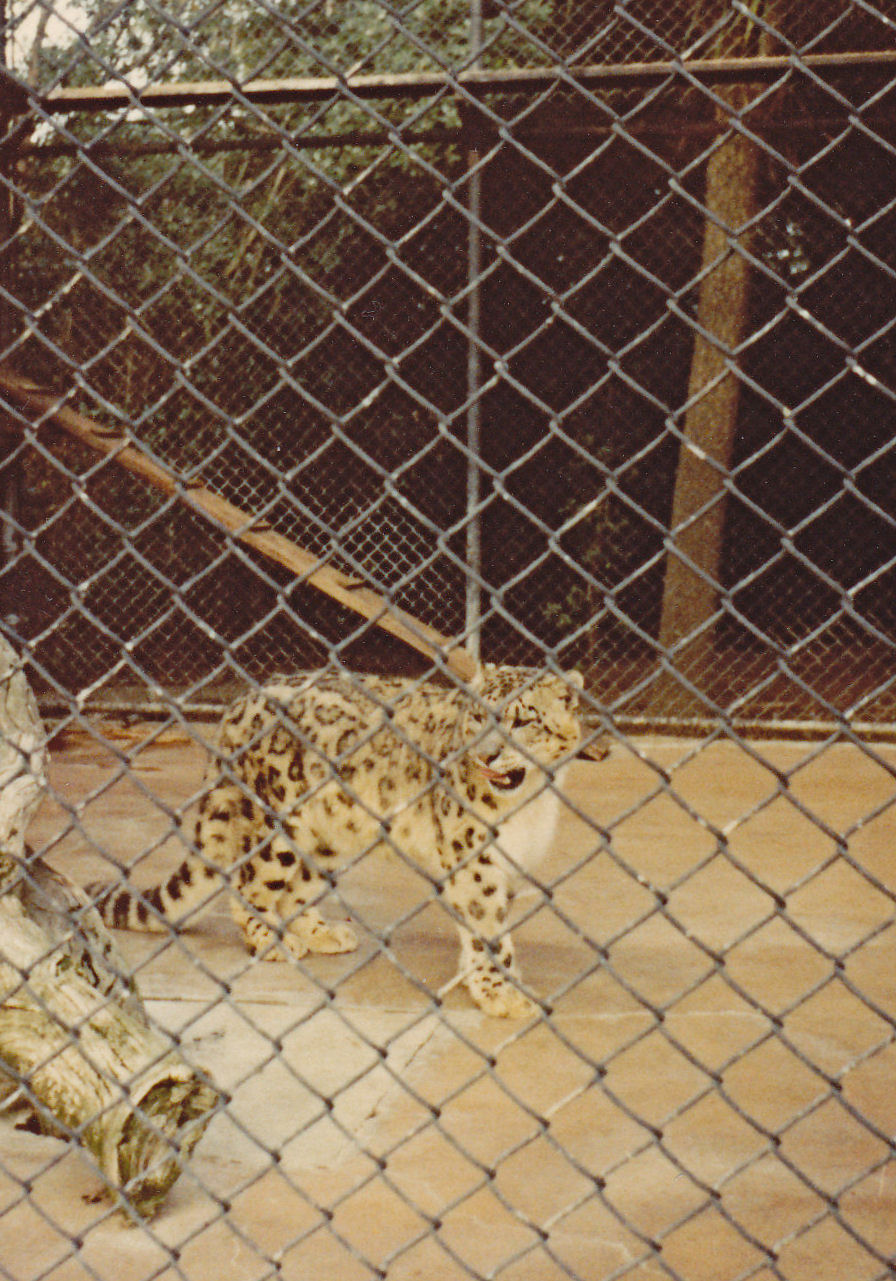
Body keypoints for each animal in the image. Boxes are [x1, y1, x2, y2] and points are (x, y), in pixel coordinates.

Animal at [91, 664, 586, 1018]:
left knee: (295, 891)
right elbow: (487, 927)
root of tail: (238, 705)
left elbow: (480, 927)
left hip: (325, 838)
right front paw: (503, 994)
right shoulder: (473, 859)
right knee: (249, 886)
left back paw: (323, 933)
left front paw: (479, 977)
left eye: (525, 720)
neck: (530, 801)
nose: (486, 755)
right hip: (275, 826)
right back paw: (272, 943)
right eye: (478, 717)